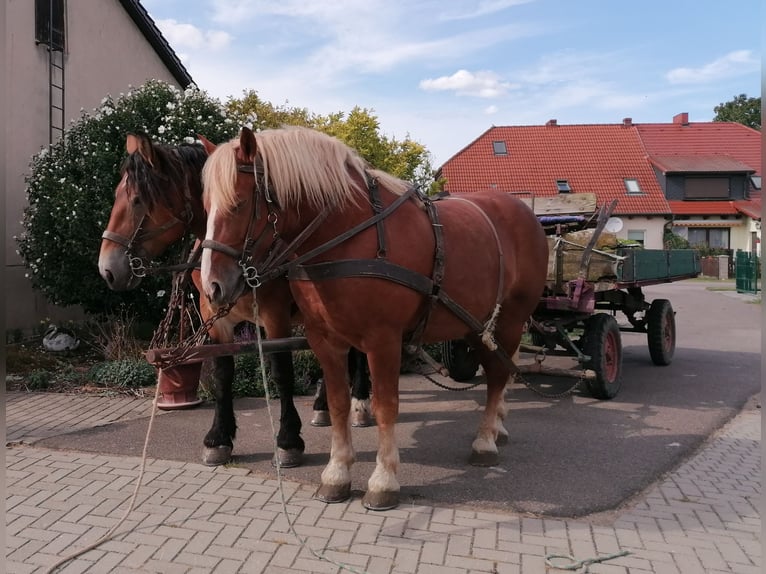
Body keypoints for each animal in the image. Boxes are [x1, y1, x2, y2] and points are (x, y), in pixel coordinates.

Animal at [97, 134, 374, 472]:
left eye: (137, 200)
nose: (107, 269)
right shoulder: (215, 315)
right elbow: (222, 373)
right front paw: (219, 438)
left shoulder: (275, 316)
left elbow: (282, 372)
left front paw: (288, 440)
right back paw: (323, 406)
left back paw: (359, 404)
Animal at [201, 127, 548, 512]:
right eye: (205, 206)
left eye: (239, 203)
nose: (211, 286)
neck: (351, 234)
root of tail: (522, 210)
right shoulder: (325, 340)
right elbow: (338, 404)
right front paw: (336, 473)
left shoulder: (383, 341)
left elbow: (386, 406)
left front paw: (383, 480)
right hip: (477, 323)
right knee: (498, 369)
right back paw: (498, 426)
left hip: (511, 318)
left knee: (499, 375)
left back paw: (485, 440)